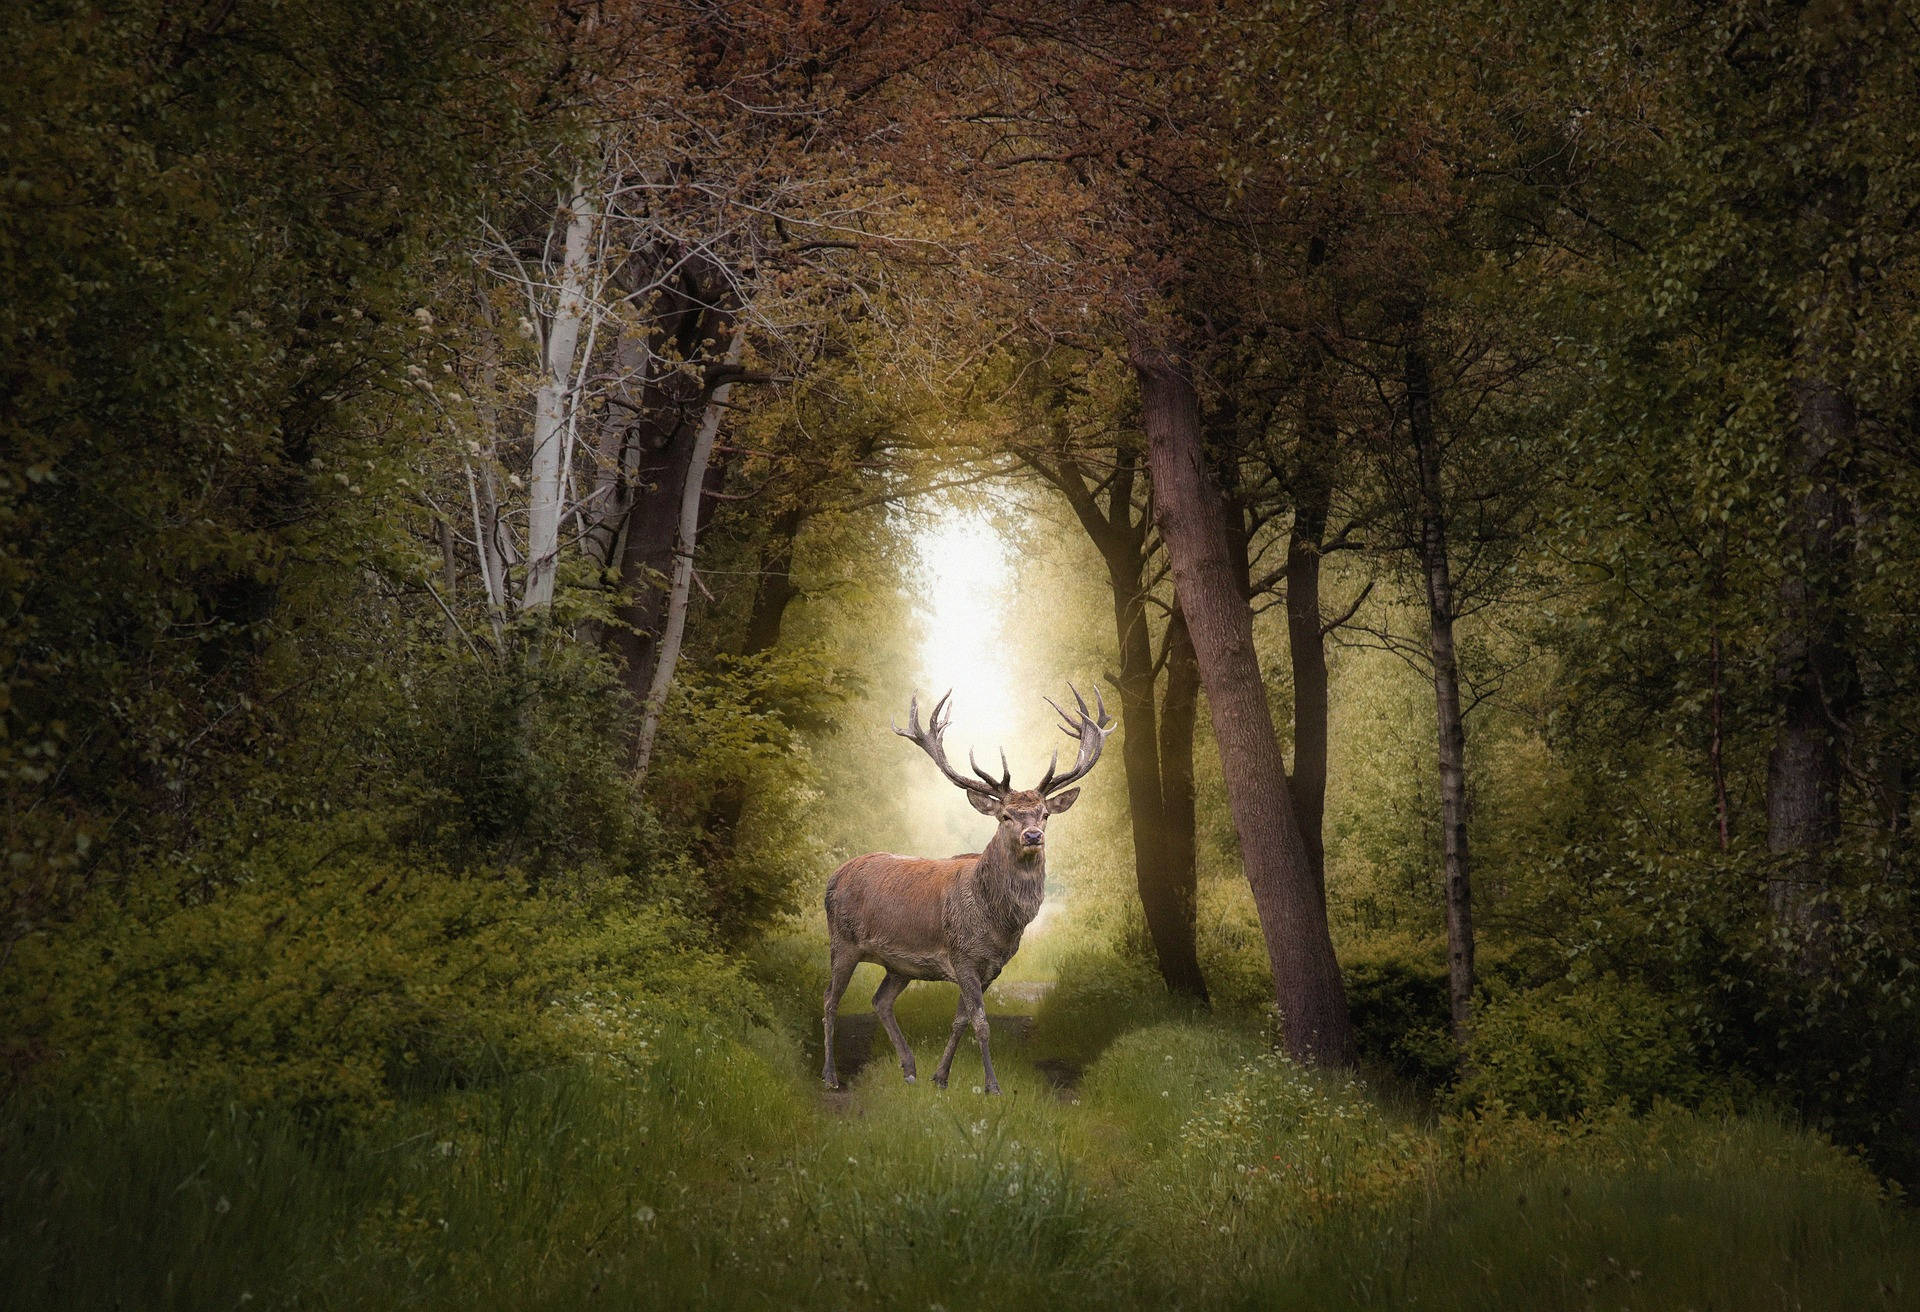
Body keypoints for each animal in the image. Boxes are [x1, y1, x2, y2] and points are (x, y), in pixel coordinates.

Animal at [821, 686, 1113, 1093]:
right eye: (1005, 815)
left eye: (1045, 814)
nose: (1033, 836)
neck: (997, 922)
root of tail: (833, 877)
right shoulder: (962, 955)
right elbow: (981, 1022)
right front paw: (992, 1085)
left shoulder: (992, 966)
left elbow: (961, 1019)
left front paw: (940, 1077)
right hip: (842, 941)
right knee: (829, 1000)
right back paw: (830, 1076)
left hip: (898, 964)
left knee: (880, 1000)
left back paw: (909, 1068)